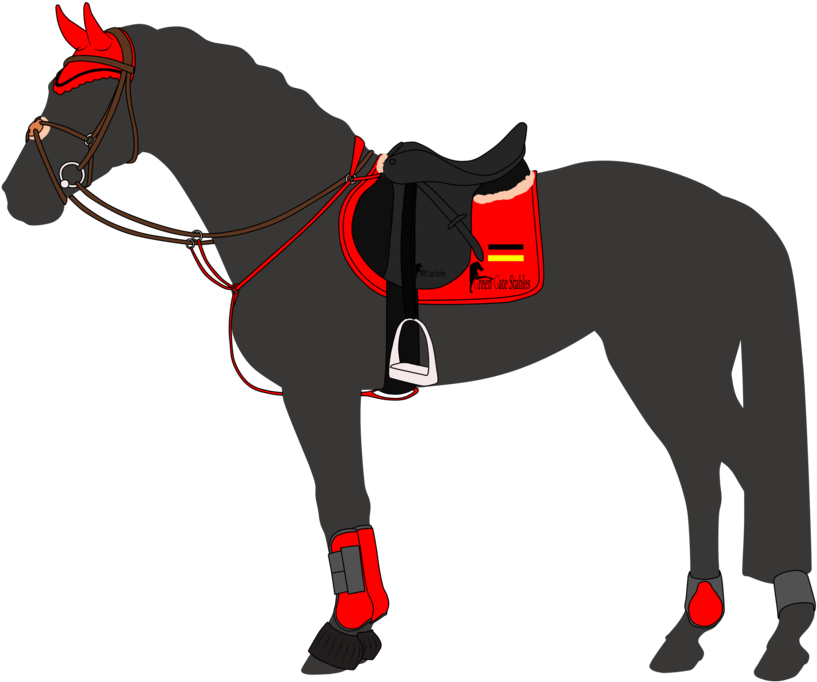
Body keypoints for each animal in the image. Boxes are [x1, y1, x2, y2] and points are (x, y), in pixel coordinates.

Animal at [4, 6, 811, 678]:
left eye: (82, 89)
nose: (17, 197)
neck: (288, 206)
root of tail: (731, 213)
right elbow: (345, 502)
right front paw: (364, 626)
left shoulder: (317, 390)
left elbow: (337, 500)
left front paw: (343, 634)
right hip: (666, 367)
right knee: (700, 467)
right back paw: (690, 633)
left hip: (669, 362)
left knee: (746, 464)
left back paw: (786, 632)